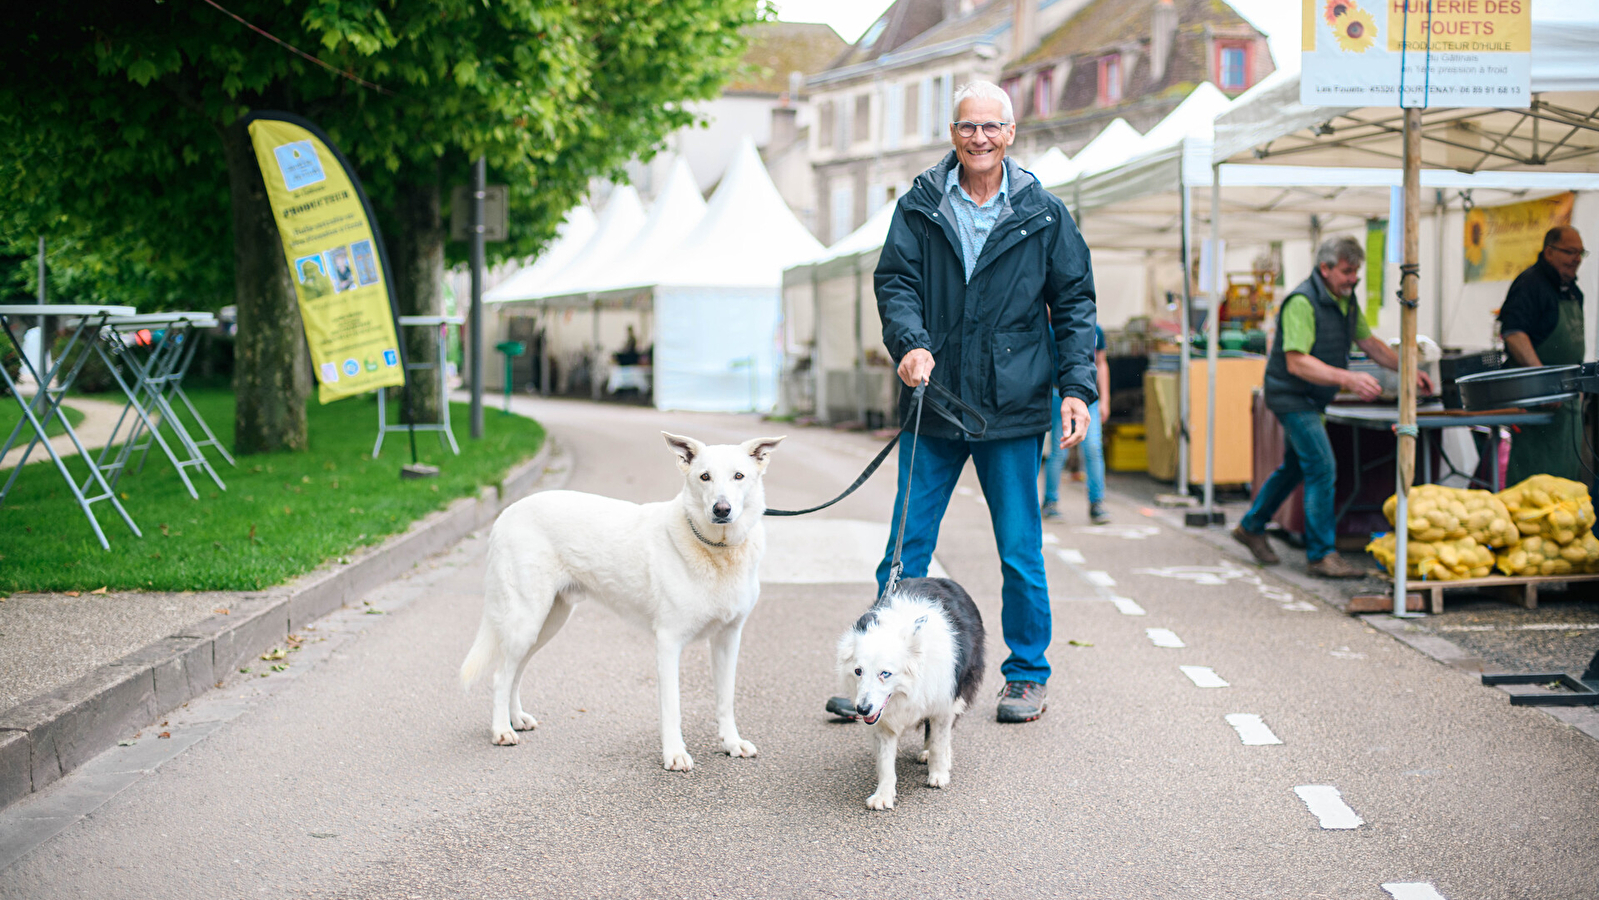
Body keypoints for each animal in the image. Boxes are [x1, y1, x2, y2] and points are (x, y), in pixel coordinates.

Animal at [460, 431, 783, 770]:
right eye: (704, 477)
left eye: (739, 476)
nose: (722, 510)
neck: (716, 550)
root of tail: (506, 514)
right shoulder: (669, 641)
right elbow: (672, 706)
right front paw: (674, 753)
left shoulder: (728, 638)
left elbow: (726, 699)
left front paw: (731, 743)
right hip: (525, 620)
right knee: (501, 675)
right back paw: (501, 730)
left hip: (546, 623)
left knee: (516, 671)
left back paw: (516, 719)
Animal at [844, 581, 978, 812]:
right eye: (858, 671)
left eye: (885, 673)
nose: (862, 709)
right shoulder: (882, 721)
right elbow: (885, 761)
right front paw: (883, 795)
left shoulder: (943, 702)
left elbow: (939, 741)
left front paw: (939, 774)